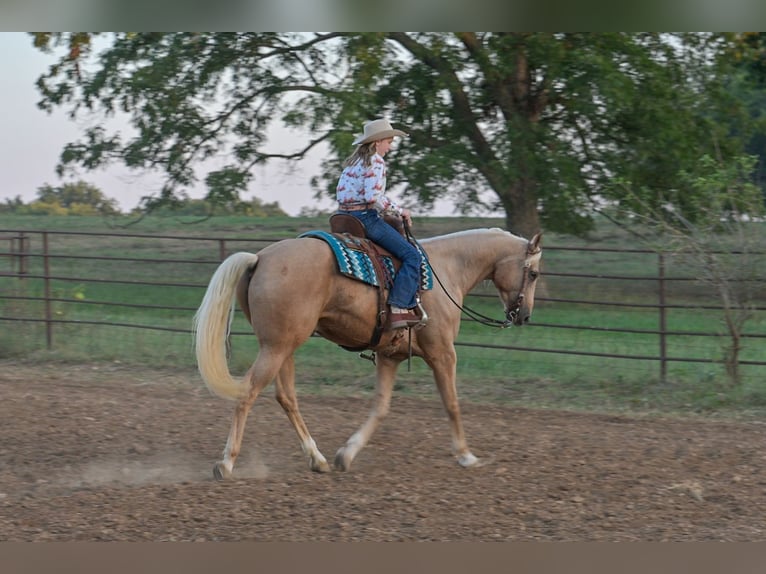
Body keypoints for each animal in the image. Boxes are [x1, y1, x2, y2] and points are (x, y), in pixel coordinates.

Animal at [193, 228, 542, 479]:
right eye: (534, 274)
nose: (524, 316)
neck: (446, 269)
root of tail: (259, 258)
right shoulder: (443, 353)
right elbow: (452, 403)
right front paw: (466, 455)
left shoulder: (390, 356)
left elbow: (381, 408)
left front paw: (346, 454)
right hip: (276, 347)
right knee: (249, 393)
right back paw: (226, 463)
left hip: (282, 347)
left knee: (286, 397)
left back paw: (318, 459)